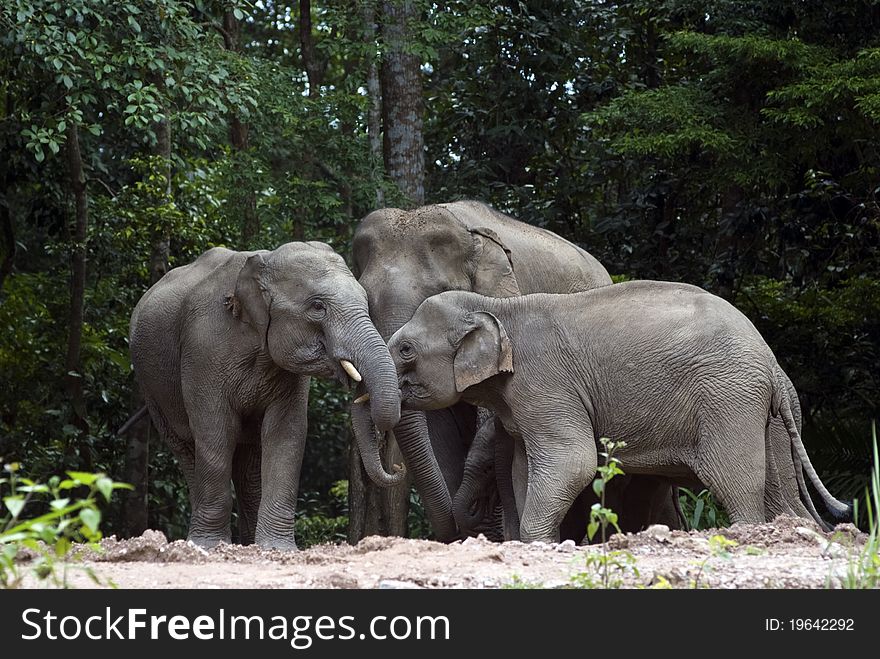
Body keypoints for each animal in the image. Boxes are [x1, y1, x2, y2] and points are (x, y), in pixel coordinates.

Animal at [388, 282, 848, 544]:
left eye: (406, 350)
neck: (499, 307)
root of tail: (770, 361)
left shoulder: (546, 384)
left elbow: (572, 461)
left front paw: (539, 544)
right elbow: (523, 469)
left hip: (729, 397)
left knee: (734, 479)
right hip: (762, 413)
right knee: (778, 489)